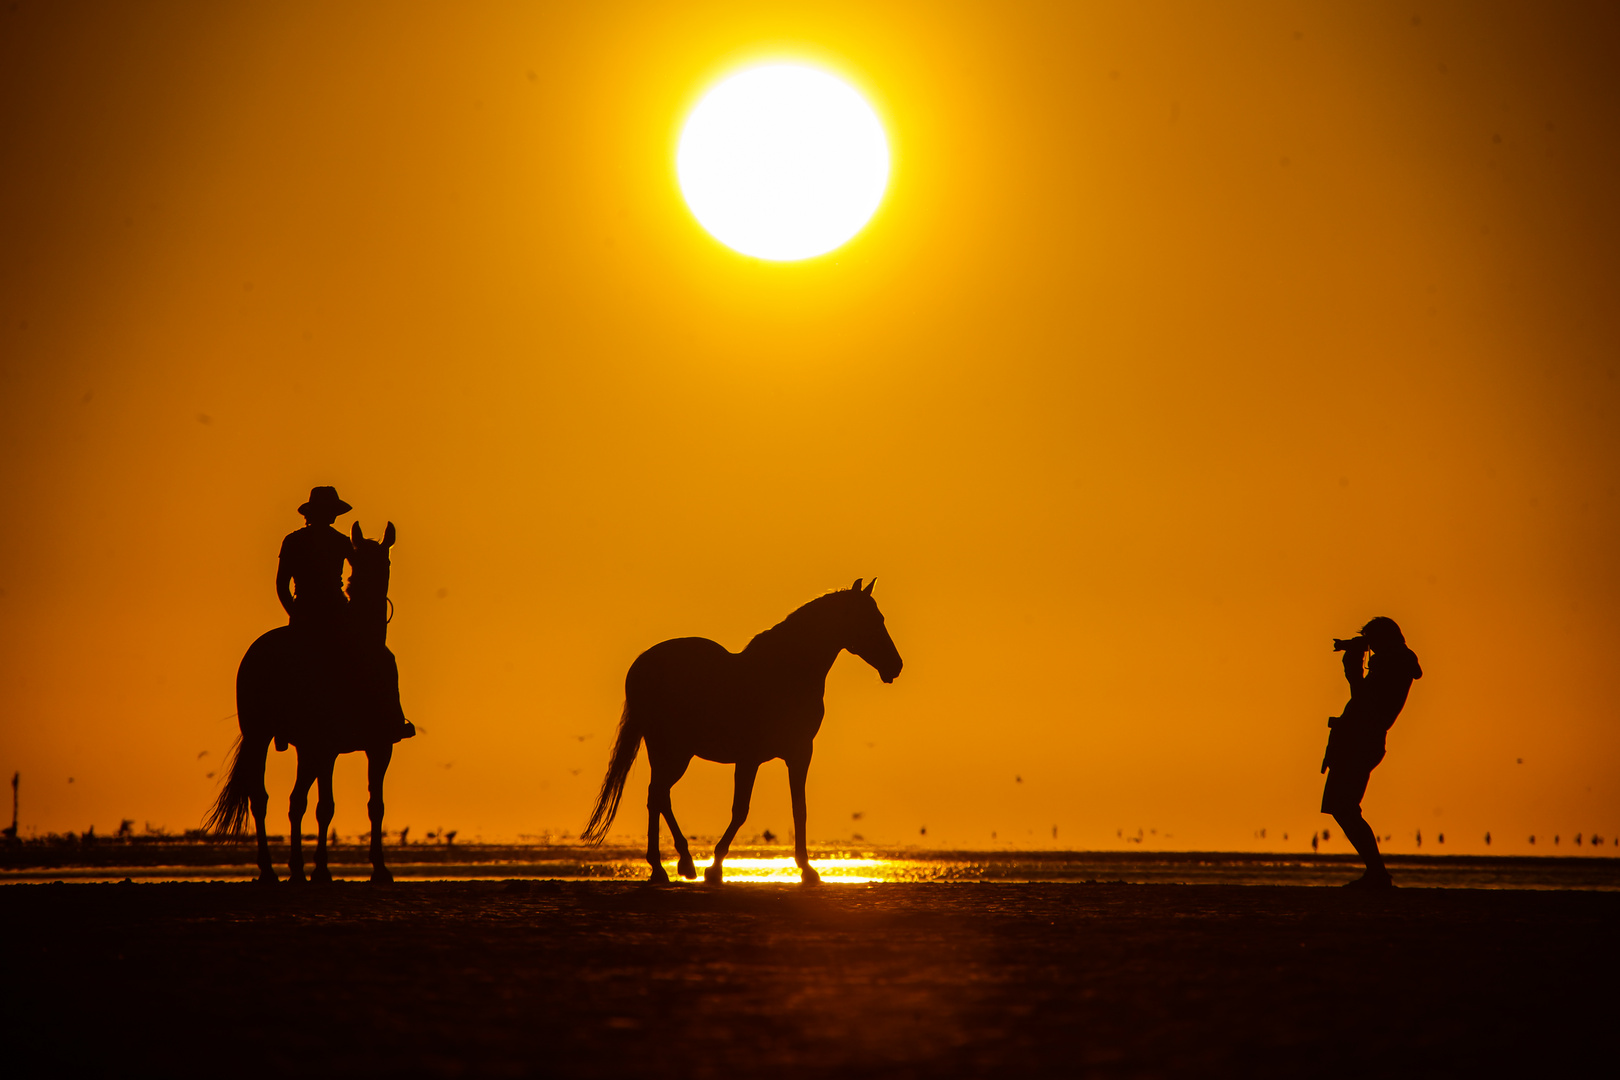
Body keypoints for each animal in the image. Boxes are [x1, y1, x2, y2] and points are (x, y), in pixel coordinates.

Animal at [205, 524, 411, 887]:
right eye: (354, 562)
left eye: (384, 562)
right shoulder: (325, 747)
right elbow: (323, 806)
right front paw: (321, 870)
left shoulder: (378, 745)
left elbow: (374, 805)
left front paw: (379, 869)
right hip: (260, 736)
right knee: (263, 798)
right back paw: (271, 870)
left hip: (304, 747)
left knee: (293, 800)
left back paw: (293, 869)